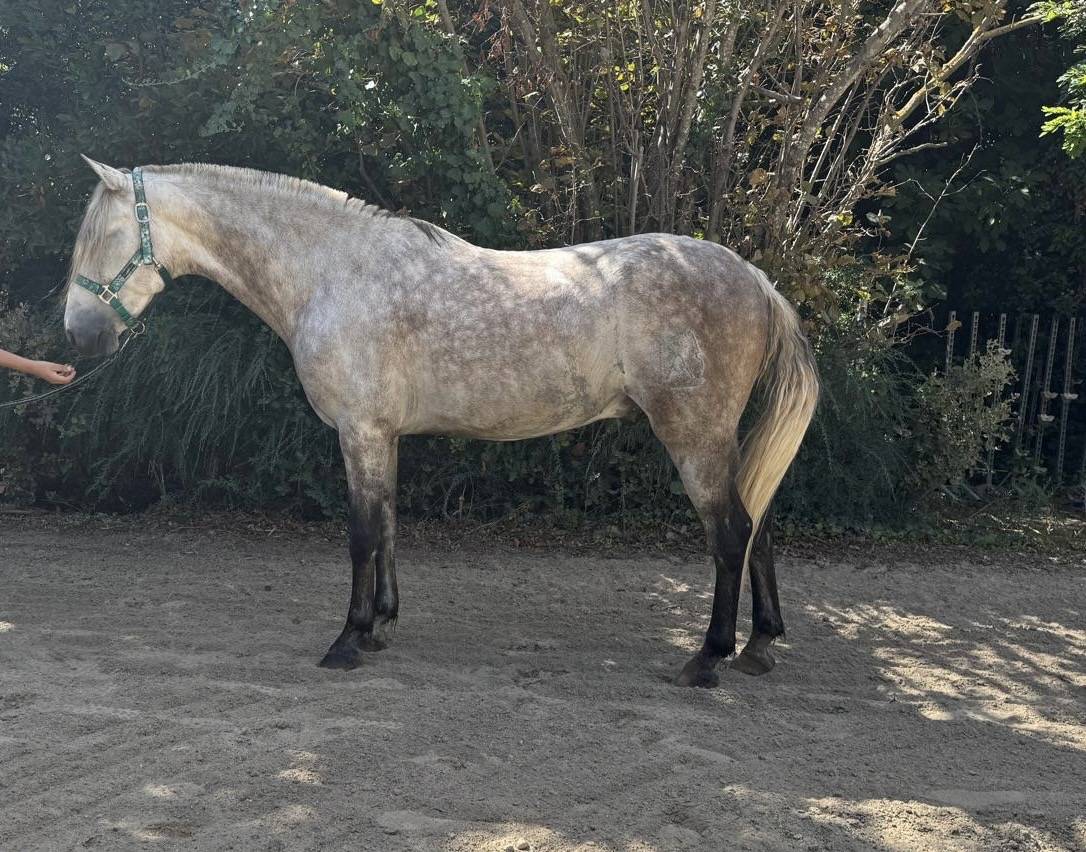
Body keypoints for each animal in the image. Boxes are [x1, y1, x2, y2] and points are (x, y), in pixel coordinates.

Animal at [64, 157, 818, 688]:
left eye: (103, 237)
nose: (78, 335)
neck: (332, 272)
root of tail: (755, 278)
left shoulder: (360, 431)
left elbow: (362, 534)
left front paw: (347, 640)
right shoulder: (382, 435)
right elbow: (390, 525)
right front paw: (381, 627)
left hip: (693, 435)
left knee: (731, 532)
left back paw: (707, 659)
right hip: (720, 437)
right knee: (758, 523)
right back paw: (757, 645)